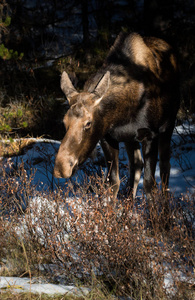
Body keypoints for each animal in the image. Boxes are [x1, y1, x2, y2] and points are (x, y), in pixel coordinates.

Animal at [53, 32, 180, 199]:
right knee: (136, 165)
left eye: (88, 123)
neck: (121, 114)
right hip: (130, 139)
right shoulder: (108, 137)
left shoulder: (150, 135)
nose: (61, 168)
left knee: (165, 165)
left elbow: (149, 184)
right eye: (64, 122)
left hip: (168, 125)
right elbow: (113, 183)